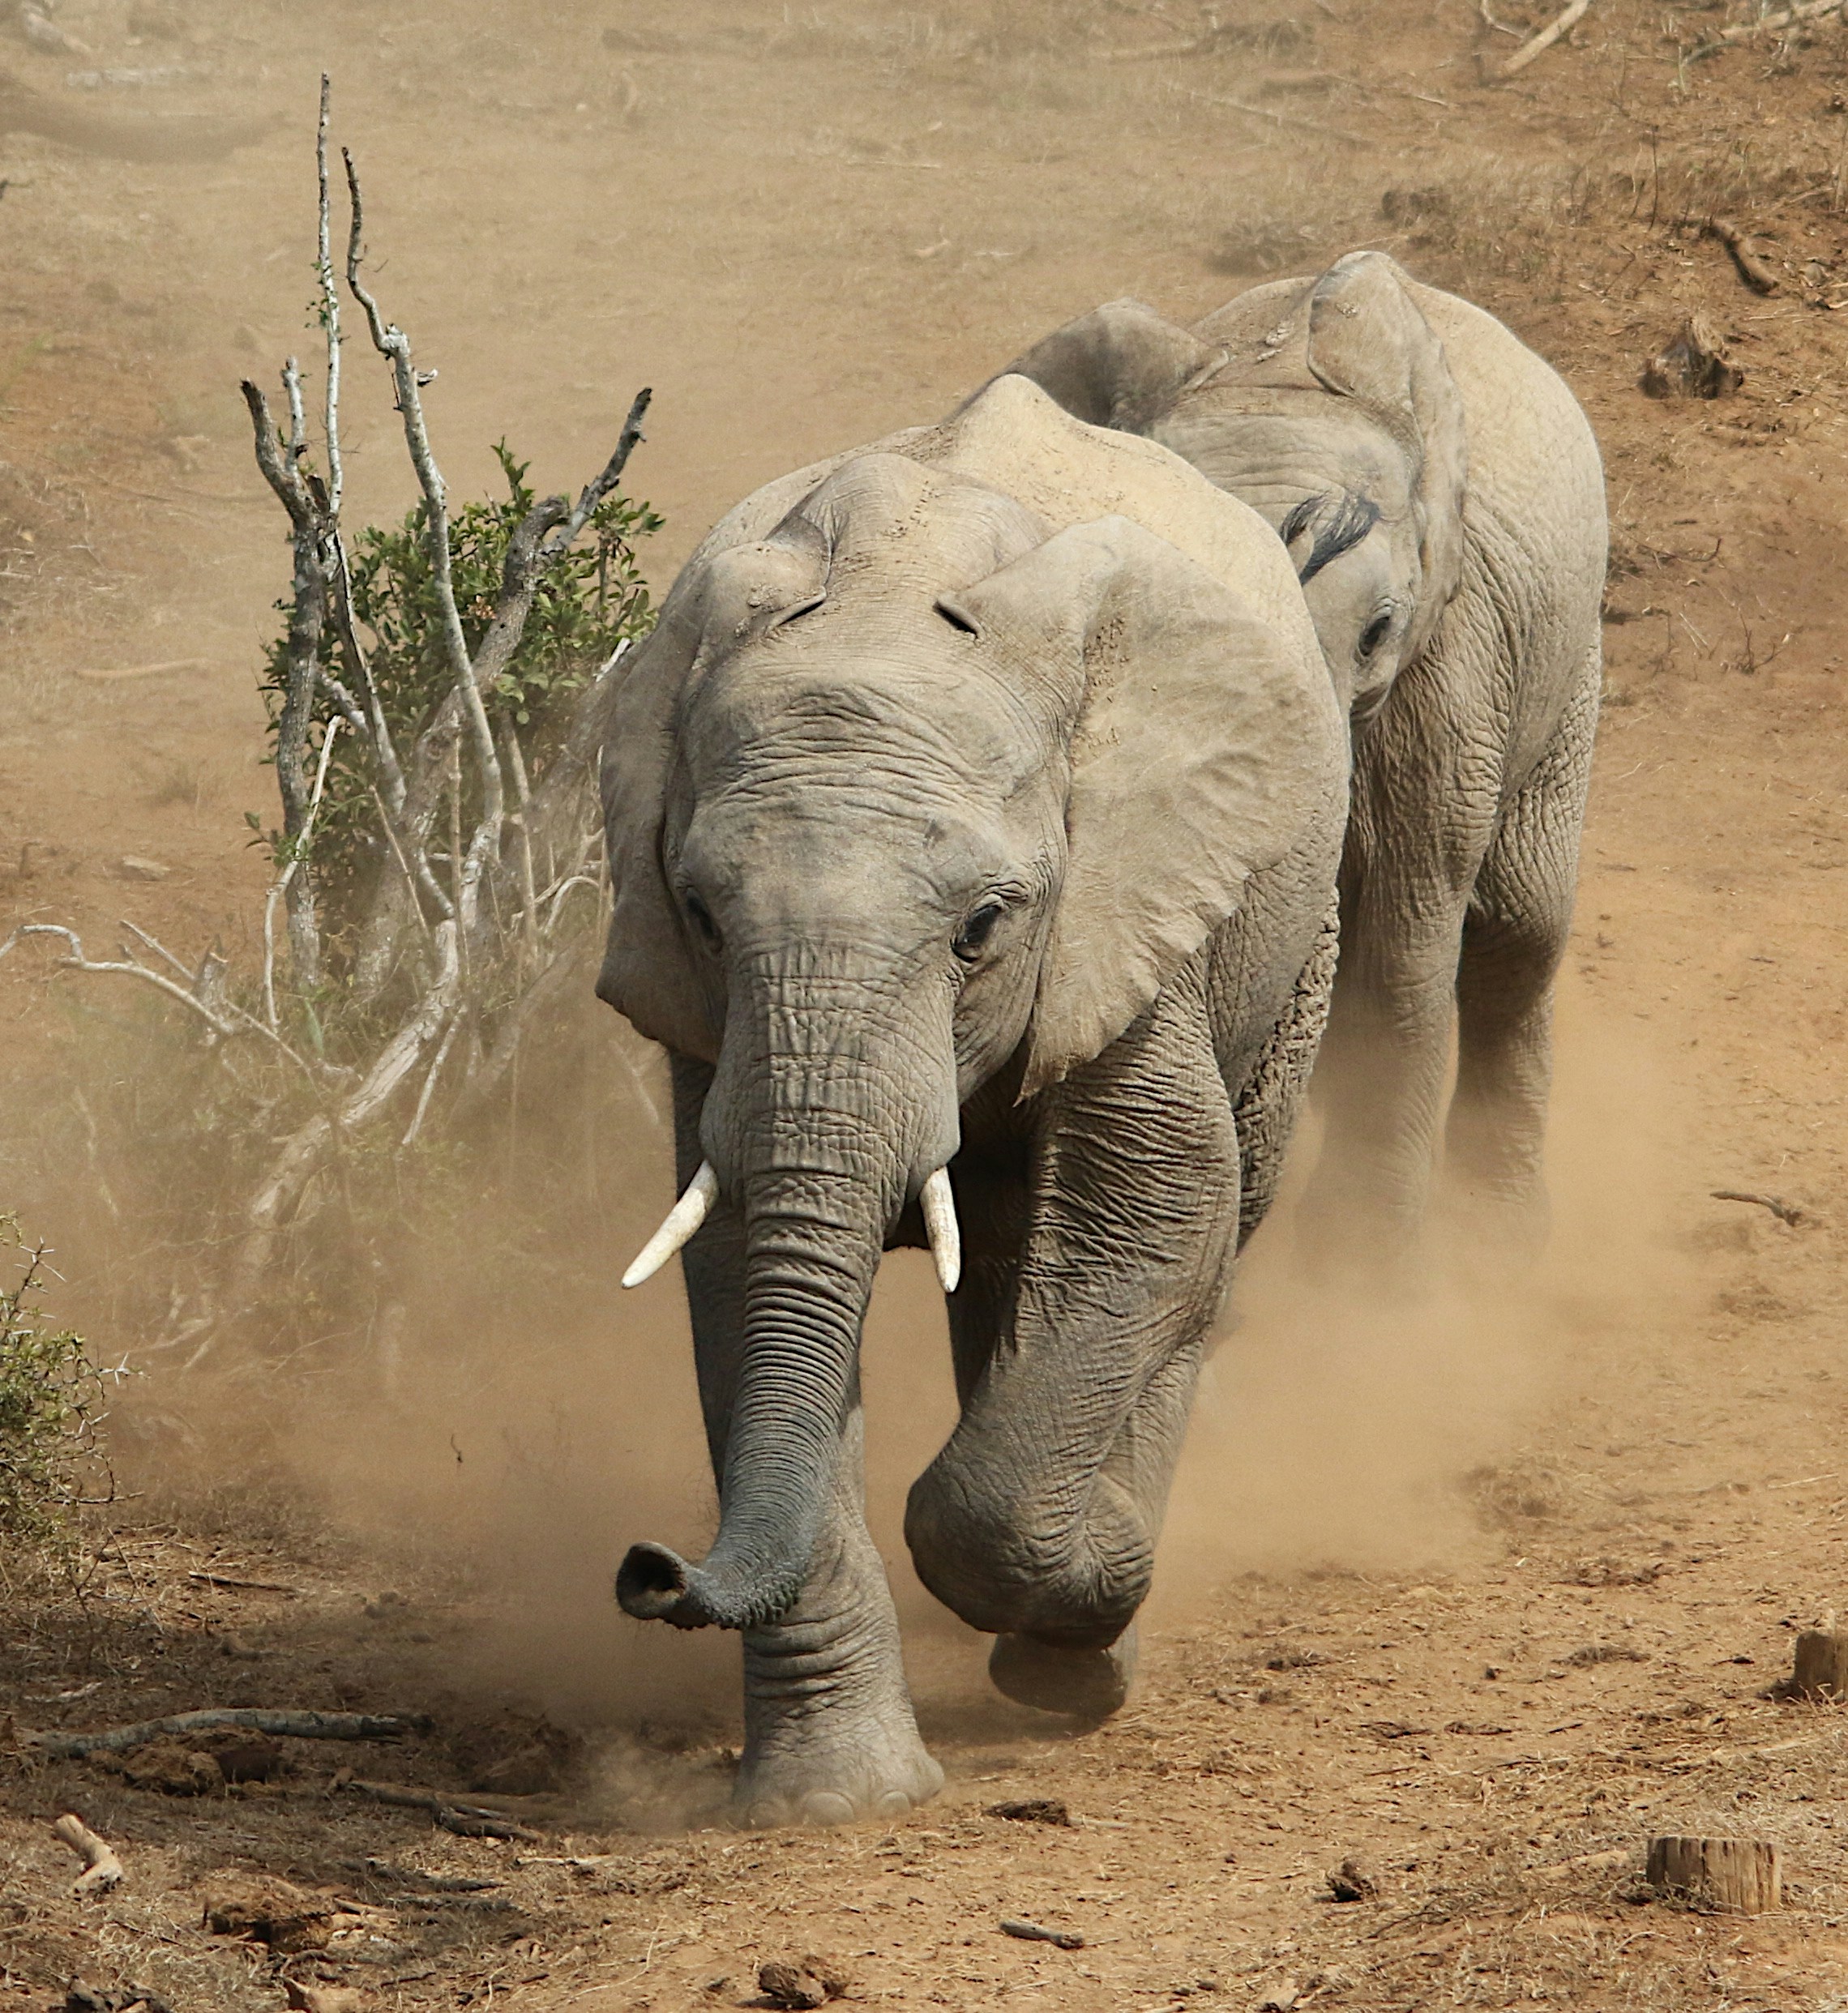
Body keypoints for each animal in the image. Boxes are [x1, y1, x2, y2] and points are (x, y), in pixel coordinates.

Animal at [596, 373, 1348, 1826]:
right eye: (702, 913)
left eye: (985, 927)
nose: (649, 1569)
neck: (895, 584)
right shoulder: (716, 1032)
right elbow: (735, 1264)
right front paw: (835, 1807)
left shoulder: (1125, 900)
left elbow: (1162, 1204)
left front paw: (1086, 1603)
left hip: (1293, 940)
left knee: (1211, 1240)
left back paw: (1091, 1636)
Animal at [982, 253, 1607, 1257]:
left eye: (1379, 631)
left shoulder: (1449, 666)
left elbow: (1401, 938)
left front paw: (1363, 1275)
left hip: (1570, 653)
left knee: (1520, 928)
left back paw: (1504, 1237)